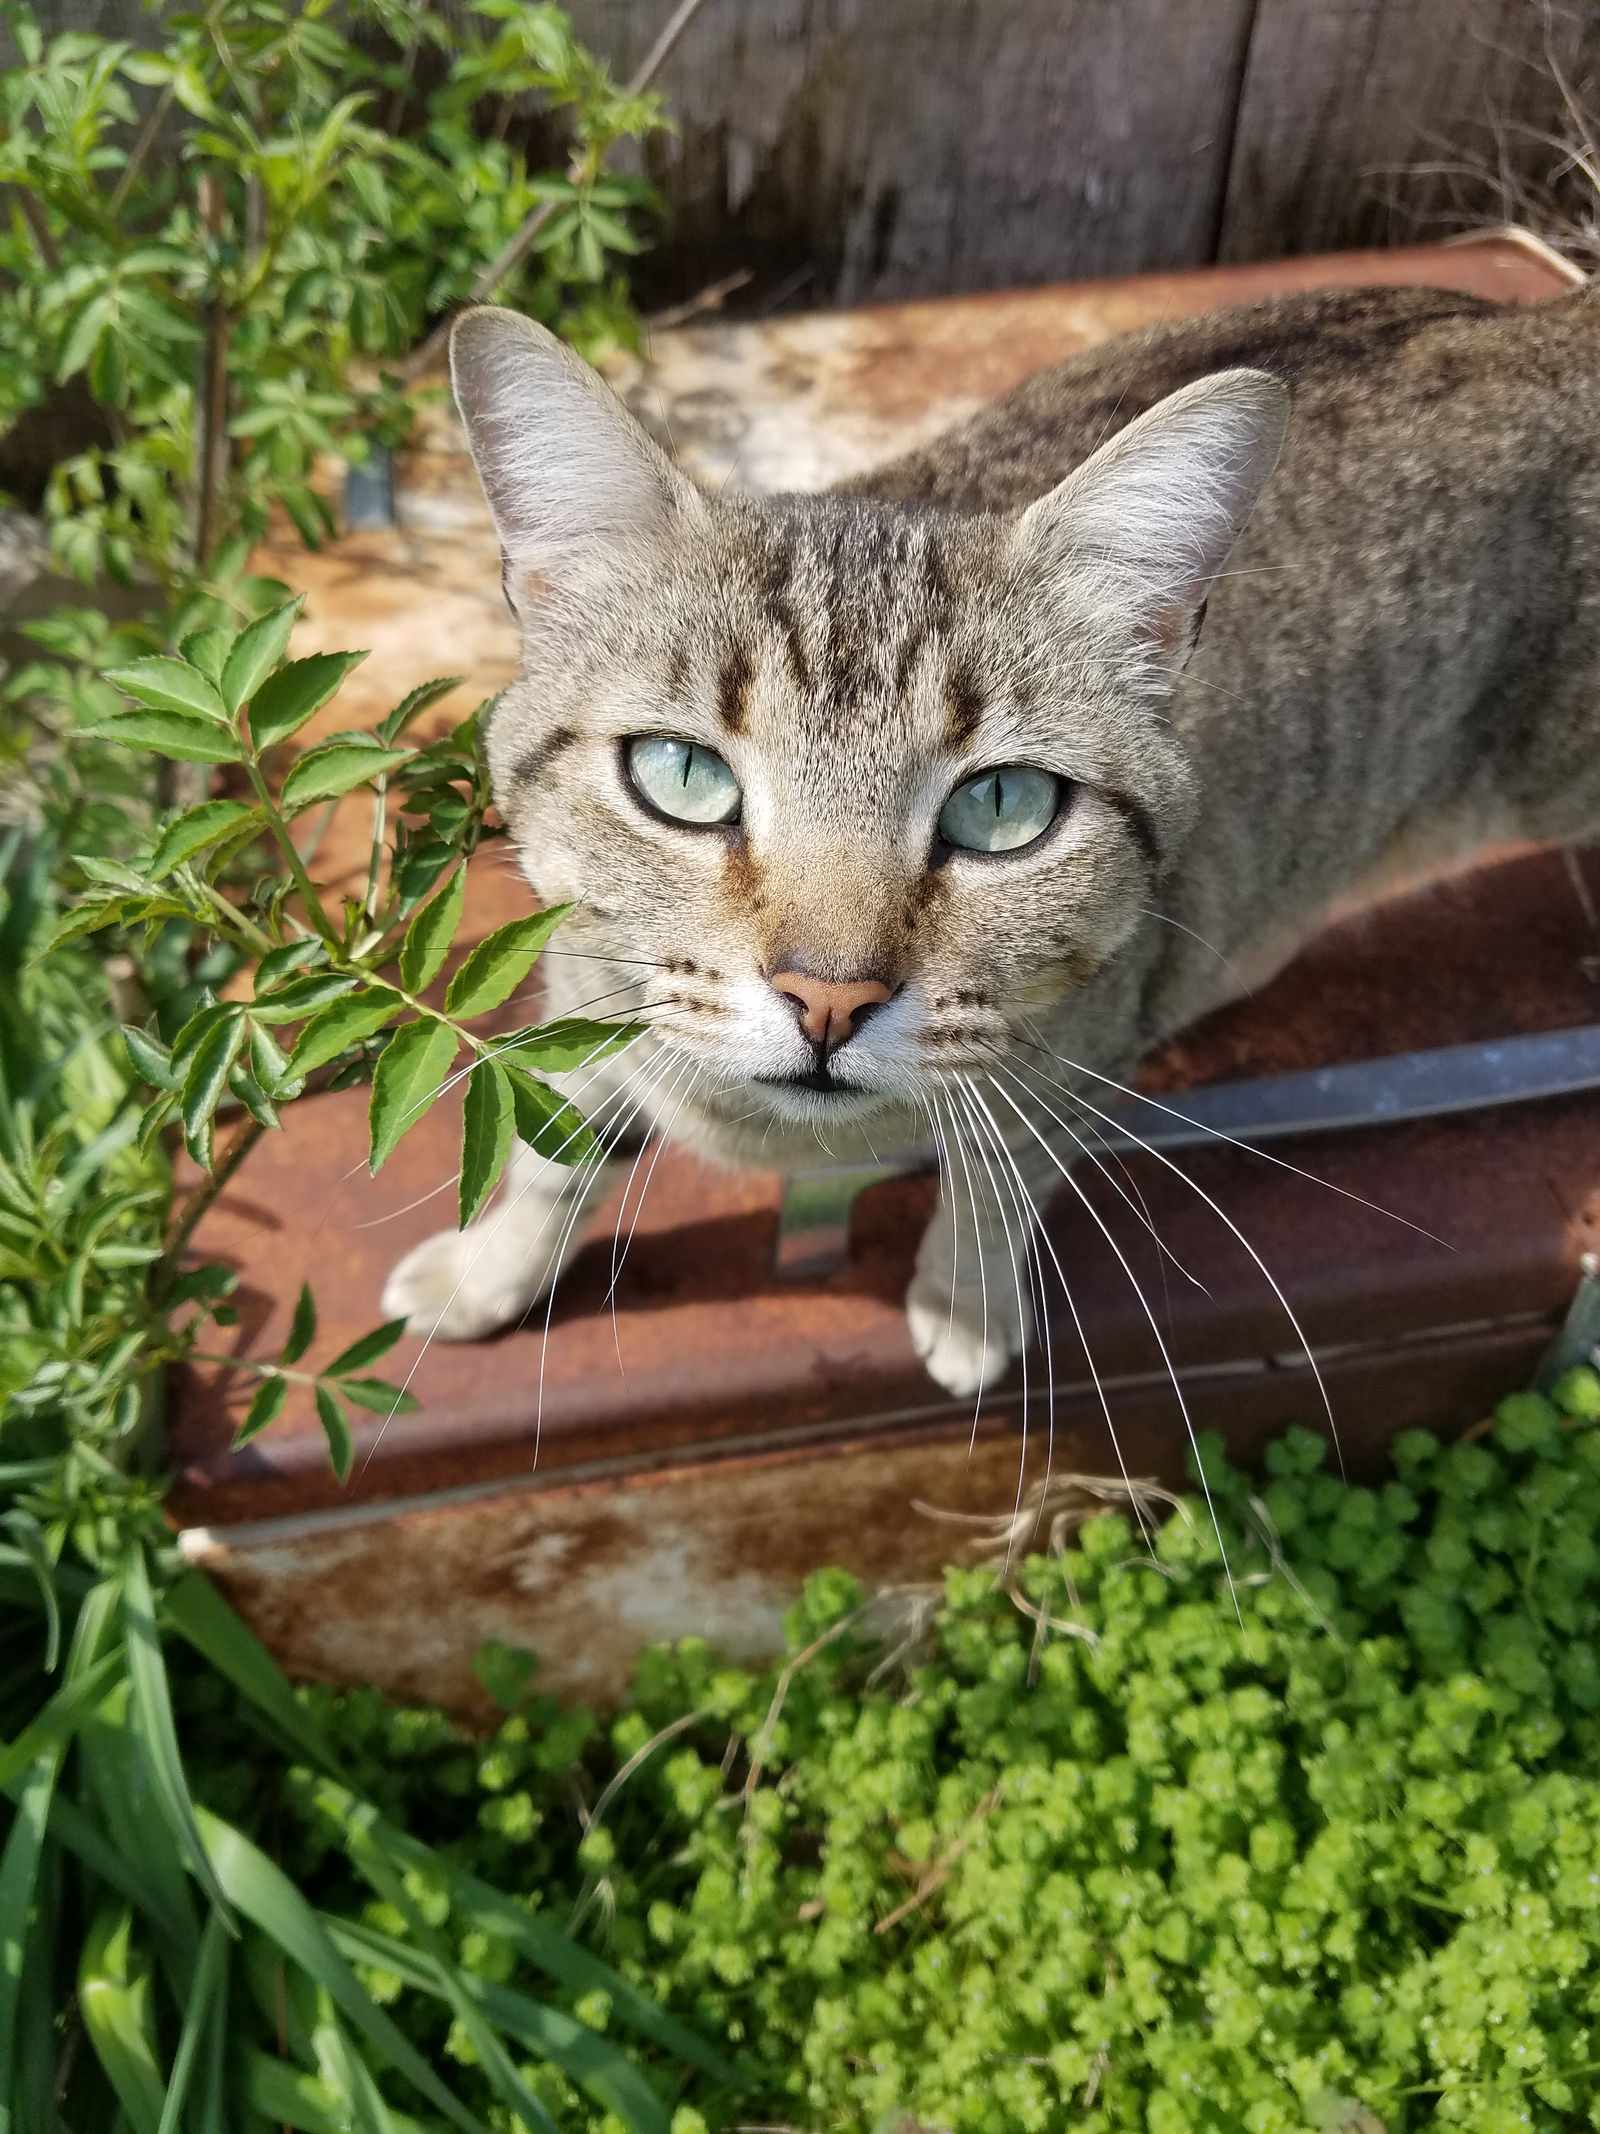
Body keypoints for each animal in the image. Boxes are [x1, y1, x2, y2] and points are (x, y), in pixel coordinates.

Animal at [388, 283, 1600, 1391]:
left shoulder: (1070, 1066)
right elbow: (552, 1149)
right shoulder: (579, 994)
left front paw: (965, 1305)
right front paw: (486, 1271)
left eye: (1002, 805)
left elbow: (997, 1184)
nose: (828, 998)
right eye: (684, 776)